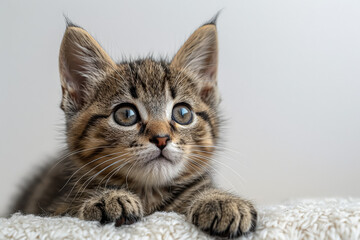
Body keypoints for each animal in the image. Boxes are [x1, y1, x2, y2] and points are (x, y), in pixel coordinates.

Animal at [11, 16, 258, 238]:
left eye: (183, 113)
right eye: (126, 115)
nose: (161, 138)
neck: (149, 195)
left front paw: (221, 201)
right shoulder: (52, 209)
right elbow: (69, 210)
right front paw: (108, 198)